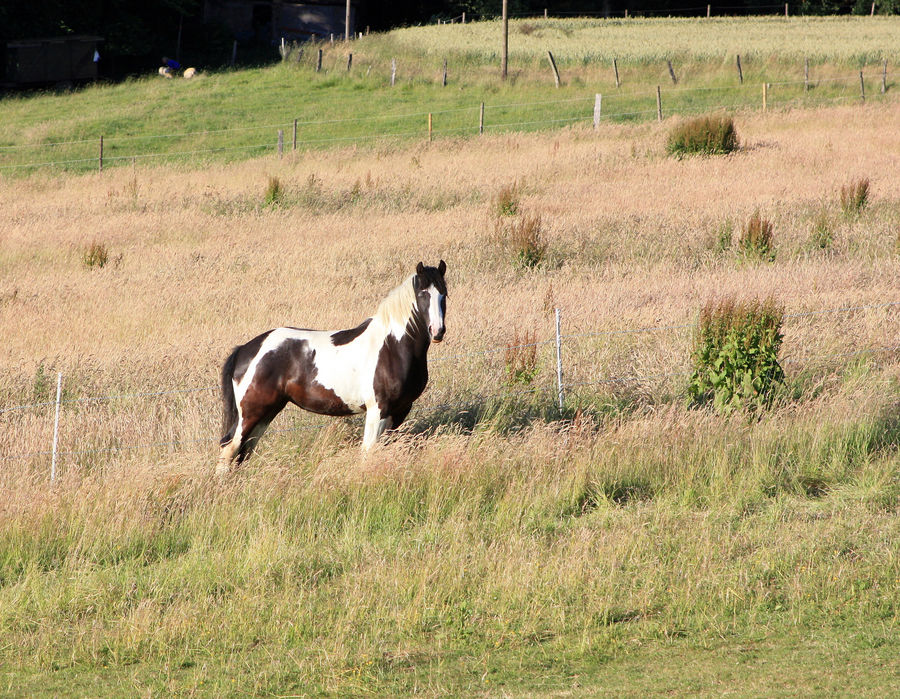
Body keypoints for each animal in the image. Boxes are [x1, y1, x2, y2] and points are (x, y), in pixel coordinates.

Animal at [215, 262, 446, 476]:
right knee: (230, 448)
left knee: (244, 451)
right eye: (423, 294)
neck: (392, 346)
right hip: (251, 412)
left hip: (267, 411)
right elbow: (368, 452)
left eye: (444, 294)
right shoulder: (378, 409)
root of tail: (244, 350)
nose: (438, 331)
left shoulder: (400, 410)